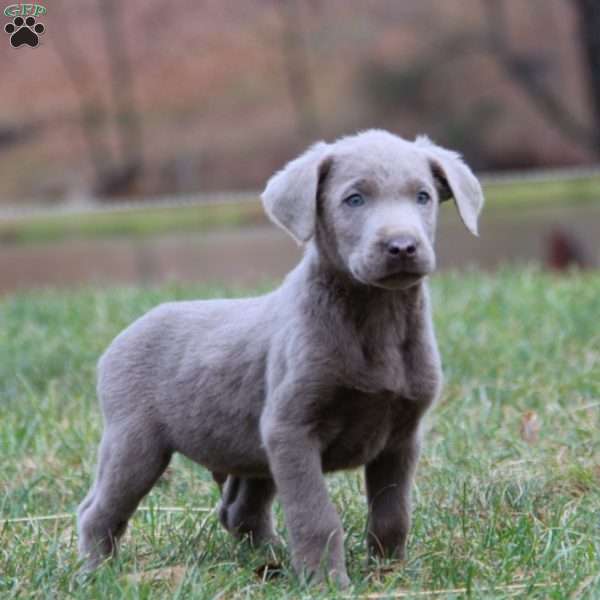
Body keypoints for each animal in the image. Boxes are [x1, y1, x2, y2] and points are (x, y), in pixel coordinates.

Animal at [78, 129, 482, 584]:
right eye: (354, 199)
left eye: (423, 196)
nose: (402, 246)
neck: (375, 320)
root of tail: (120, 339)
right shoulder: (291, 429)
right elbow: (316, 516)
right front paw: (326, 583)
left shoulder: (401, 436)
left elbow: (392, 514)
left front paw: (389, 574)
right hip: (135, 442)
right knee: (97, 511)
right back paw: (96, 574)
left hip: (249, 450)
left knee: (239, 511)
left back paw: (270, 560)